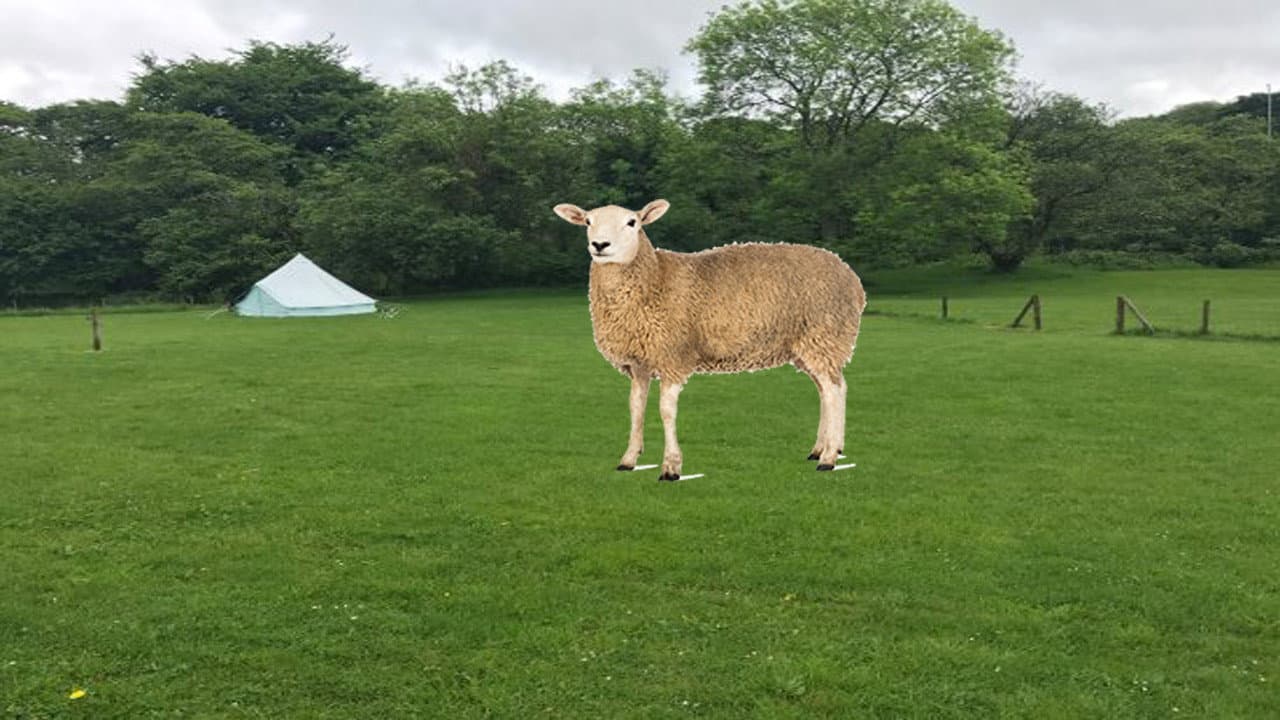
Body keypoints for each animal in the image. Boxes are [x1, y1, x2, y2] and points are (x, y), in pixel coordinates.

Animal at [552, 199, 866, 481]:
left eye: (632, 223)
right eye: (588, 221)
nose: (600, 245)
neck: (656, 278)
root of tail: (851, 276)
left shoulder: (674, 355)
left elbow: (666, 411)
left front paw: (671, 467)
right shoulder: (639, 363)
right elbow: (635, 408)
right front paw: (629, 459)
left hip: (824, 335)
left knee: (835, 390)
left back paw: (828, 459)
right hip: (807, 346)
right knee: (828, 390)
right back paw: (822, 449)